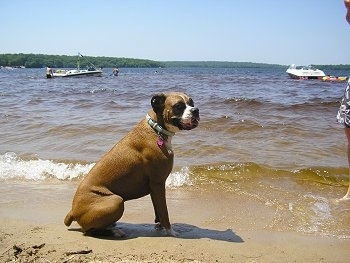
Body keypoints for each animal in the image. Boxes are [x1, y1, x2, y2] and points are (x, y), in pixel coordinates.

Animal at [63, 92, 200, 237]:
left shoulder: (154, 188)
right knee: (88, 231)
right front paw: (170, 231)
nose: (196, 110)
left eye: (191, 103)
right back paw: (114, 230)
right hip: (116, 201)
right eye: (178, 106)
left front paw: (160, 226)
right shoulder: (158, 183)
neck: (156, 128)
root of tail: (72, 211)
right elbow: (164, 211)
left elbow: (158, 210)